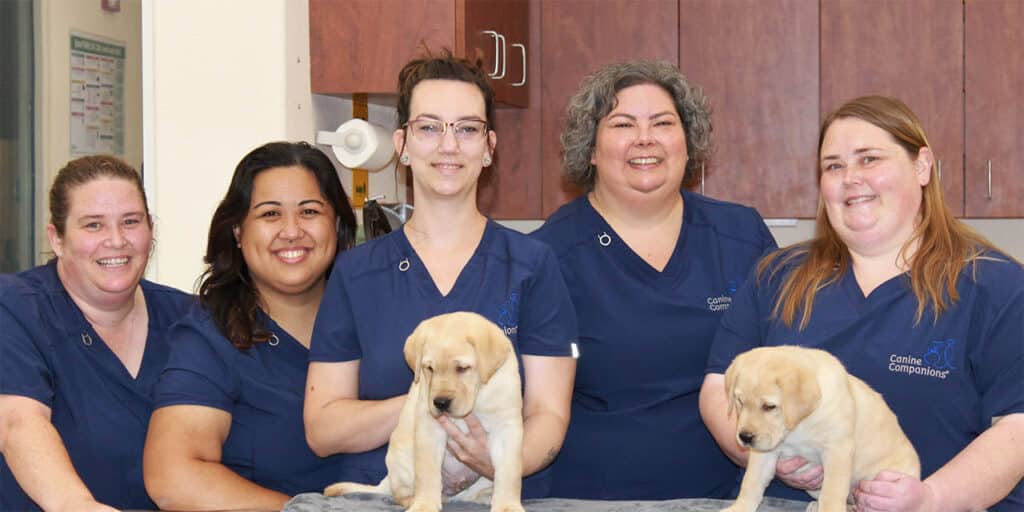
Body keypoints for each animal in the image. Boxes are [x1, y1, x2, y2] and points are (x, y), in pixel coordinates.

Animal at [323, 309, 524, 512]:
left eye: (462, 368)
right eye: (430, 368)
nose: (440, 403)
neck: (477, 397)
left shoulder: (507, 428)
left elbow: (510, 473)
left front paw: (508, 505)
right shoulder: (429, 429)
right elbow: (427, 474)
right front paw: (424, 504)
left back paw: (485, 497)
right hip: (402, 460)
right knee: (400, 494)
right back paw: (416, 500)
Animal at [720, 344, 921, 512]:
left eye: (769, 406)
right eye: (739, 401)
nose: (745, 437)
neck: (798, 425)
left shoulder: (838, 450)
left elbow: (831, 493)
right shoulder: (765, 452)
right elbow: (751, 482)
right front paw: (739, 508)